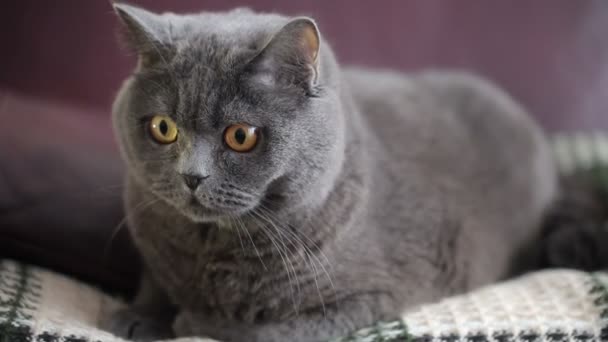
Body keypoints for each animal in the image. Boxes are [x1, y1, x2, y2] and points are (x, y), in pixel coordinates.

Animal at [103, 2, 556, 342]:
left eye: (241, 136)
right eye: (163, 128)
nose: (191, 176)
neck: (211, 248)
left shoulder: (370, 298)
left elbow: (263, 332)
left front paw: (190, 321)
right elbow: (156, 279)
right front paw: (138, 316)